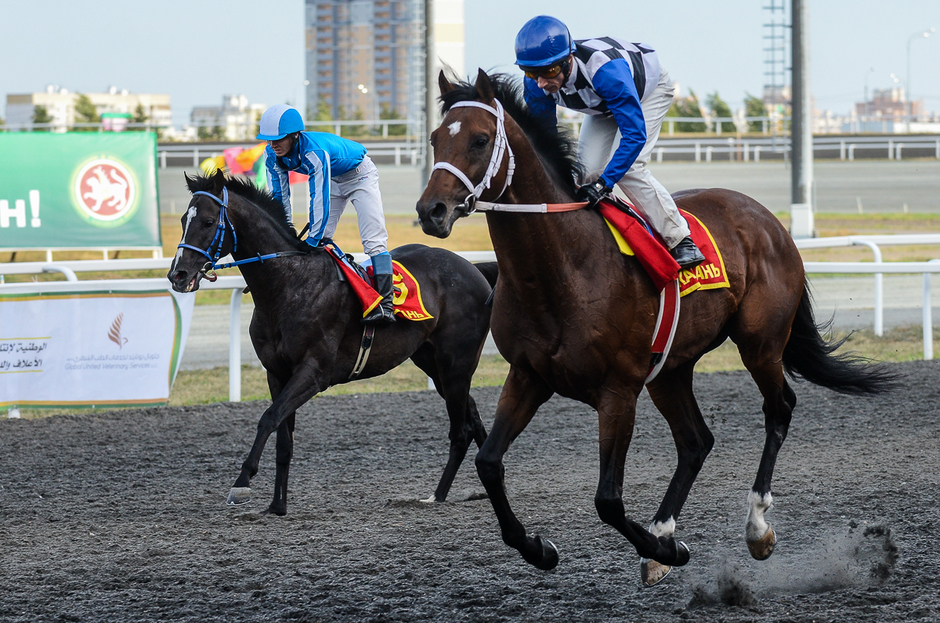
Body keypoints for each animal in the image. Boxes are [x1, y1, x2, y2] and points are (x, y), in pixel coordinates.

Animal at [167, 169, 497, 515]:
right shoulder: (277, 373)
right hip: (433, 363)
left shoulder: (315, 372)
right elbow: (283, 437)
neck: (287, 285)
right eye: (183, 219)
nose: (178, 275)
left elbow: (268, 418)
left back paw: (438, 495)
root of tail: (473, 268)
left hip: (457, 363)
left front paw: (242, 482)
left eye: (207, 221)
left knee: (460, 430)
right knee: (473, 421)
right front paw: (277, 505)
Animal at [415, 69, 898, 585]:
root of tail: (768, 220)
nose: (431, 210)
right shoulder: (529, 375)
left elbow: (608, 500)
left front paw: (670, 550)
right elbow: (489, 464)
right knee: (696, 441)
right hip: (670, 368)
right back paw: (663, 532)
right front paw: (539, 549)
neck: (562, 267)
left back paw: (754, 527)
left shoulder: (619, 389)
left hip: (760, 343)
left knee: (779, 408)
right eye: (434, 138)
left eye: (480, 140)